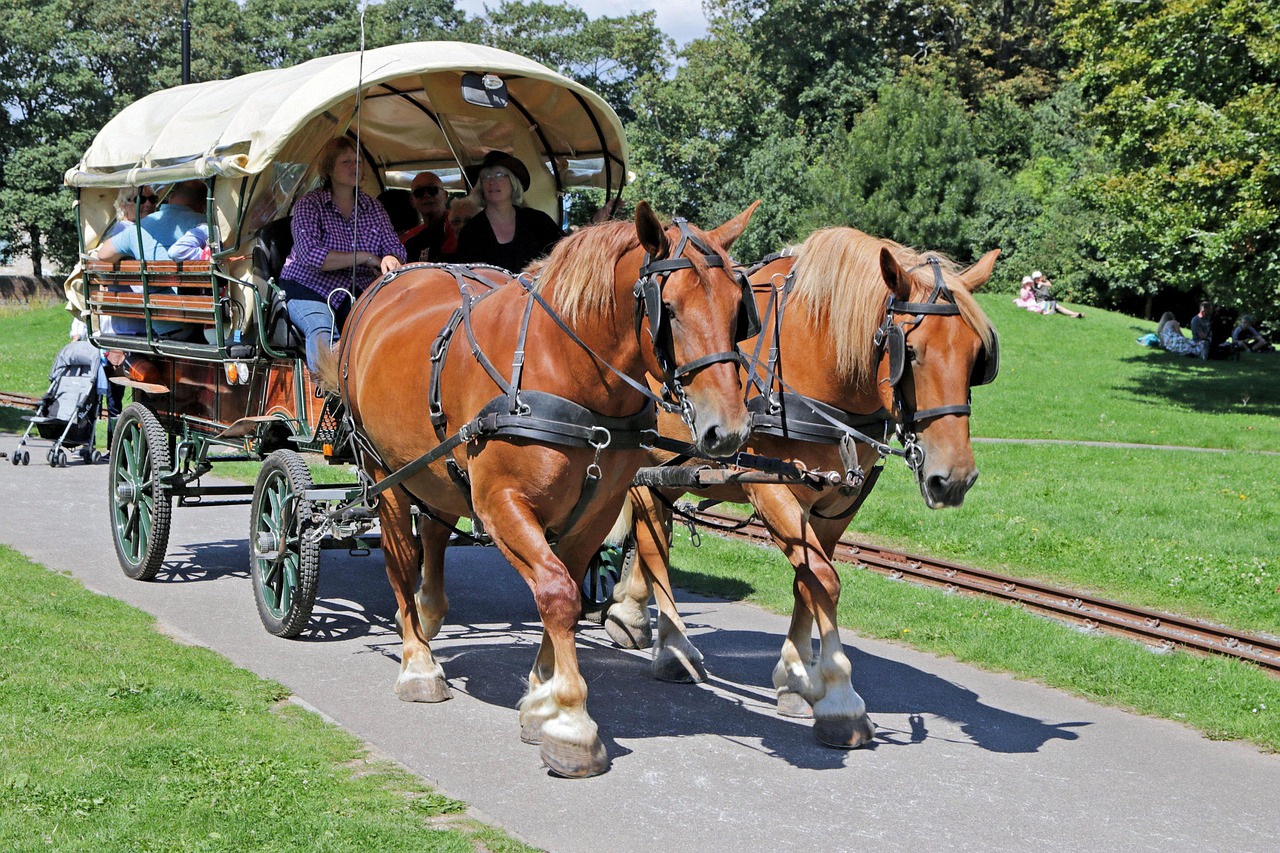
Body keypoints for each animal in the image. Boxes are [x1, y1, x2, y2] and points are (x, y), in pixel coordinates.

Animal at [320, 202, 757, 773]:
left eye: (737, 309)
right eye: (671, 309)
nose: (728, 430)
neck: (568, 374)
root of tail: (393, 278)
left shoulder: (595, 512)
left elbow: (565, 588)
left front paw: (542, 699)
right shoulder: (501, 504)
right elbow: (556, 593)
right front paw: (571, 719)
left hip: (433, 468)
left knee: (433, 535)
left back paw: (429, 612)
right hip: (383, 473)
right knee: (399, 556)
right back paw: (417, 661)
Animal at [601, 224, 998, 742]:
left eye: (976, 357)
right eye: (909, 352)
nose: (954, 478)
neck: (816, 360)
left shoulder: (839, 500)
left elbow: (807, 580)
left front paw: (795, 677)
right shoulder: (772, 488)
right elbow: (825, 581)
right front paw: (839, 700)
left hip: (670, 466)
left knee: (654, 528)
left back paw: (631, 613)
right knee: (651, 538)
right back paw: (673, 647)